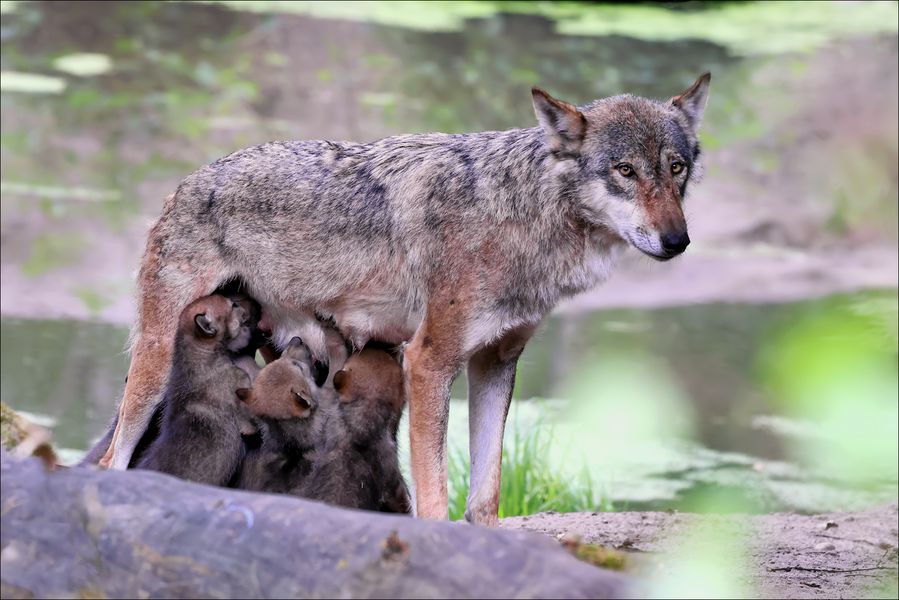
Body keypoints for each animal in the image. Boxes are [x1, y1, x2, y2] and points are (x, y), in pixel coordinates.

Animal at [102, 74, 712, 524]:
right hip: (153, 372)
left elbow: (484, 499)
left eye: (676, 169)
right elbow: (434, 500)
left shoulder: (495, 364)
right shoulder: (429, 363)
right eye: (624, 170)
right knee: (112, 460)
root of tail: (186, 182)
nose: (678, 241)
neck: (519, 215)